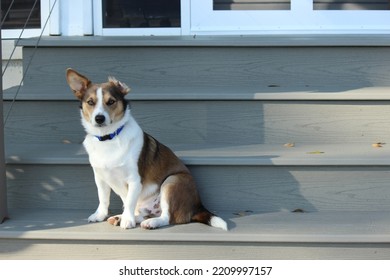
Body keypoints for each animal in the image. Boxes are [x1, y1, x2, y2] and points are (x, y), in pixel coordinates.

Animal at [65, 68, 227, 230]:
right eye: (90, 102)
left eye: (111, 102)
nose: (99, 118)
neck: (109, 137)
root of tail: (197, 207)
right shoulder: (100, 178)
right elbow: (103, 199)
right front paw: (100, 215)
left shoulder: (134, 180)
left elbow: (129, 202)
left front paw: (127, 221)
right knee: (143, 213)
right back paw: (120, 217)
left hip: (172, 181)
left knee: (168, 217)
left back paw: (150, 222)